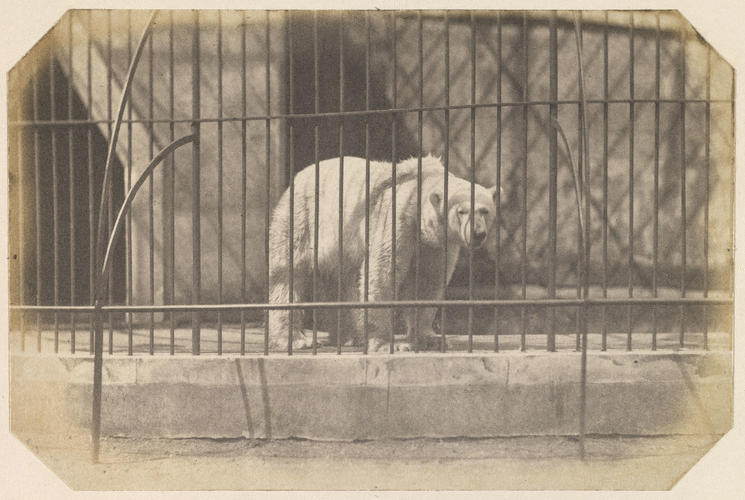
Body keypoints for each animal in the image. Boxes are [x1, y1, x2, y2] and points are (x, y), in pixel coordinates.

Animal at [264, 155, 496, 352]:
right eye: (461, 211)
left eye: (485, 210)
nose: (478, 233)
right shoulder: (396, 220)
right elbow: (383, 273)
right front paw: (389, 344)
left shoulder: (436, 244)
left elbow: (427, 281)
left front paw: (432, 339)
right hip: (303, 219)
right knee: (289, 273)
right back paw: (295, 339)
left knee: (347, 281)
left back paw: (352, 336)